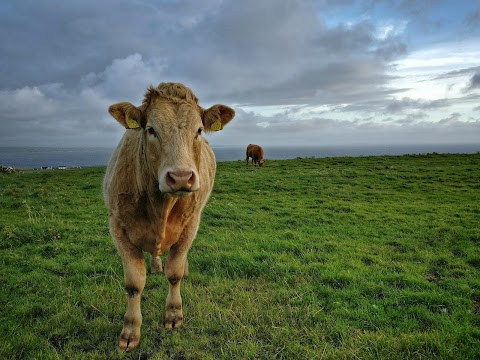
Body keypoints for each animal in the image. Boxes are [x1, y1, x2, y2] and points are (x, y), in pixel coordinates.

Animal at [103, 82, 234, 352]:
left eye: (199, 130)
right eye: (151, 129)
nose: (181, 177)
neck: (160, 206)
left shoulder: (191, 224)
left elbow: (174, 273)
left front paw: (174, 315)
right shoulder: (117, 227)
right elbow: (134, 283)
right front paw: (130, 331)